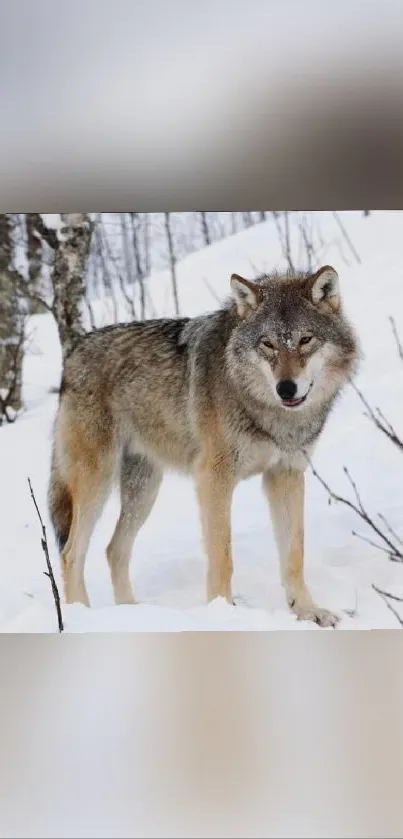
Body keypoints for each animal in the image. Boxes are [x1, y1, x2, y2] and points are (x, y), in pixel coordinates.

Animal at [48, 266, 360, 628]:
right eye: (267, 344)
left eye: (305, 340)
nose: (286, 388)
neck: (267, 412)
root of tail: (73, 352)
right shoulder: (214, 478)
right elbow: (222, 555)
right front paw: (224, 614)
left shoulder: (286, 474)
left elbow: (294, 553)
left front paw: (308, 611)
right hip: (97, 482)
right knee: (71, 553)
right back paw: (79, 617)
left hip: (144, 490)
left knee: (115, 550)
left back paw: (133, 613)